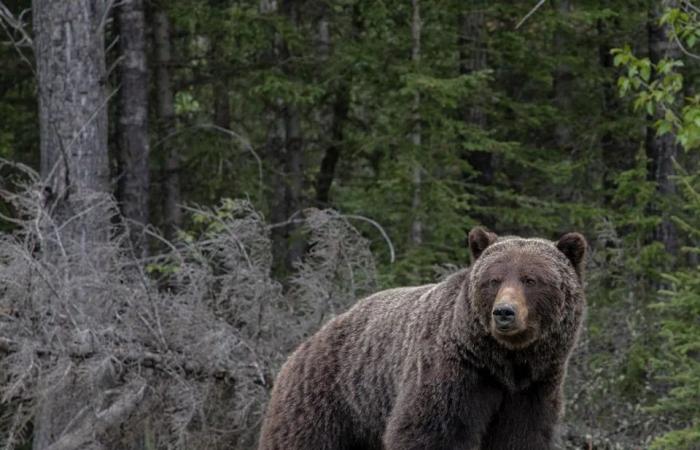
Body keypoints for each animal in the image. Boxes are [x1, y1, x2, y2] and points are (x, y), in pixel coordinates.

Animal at [258, 227, 586, 450]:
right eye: (493, 280)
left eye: (531, 279)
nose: (504, 312)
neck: (505, 362)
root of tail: (302, 347)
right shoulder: (453, 372)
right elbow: (430, 431)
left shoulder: (533, 388)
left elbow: (522, 435)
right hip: (328, 402)